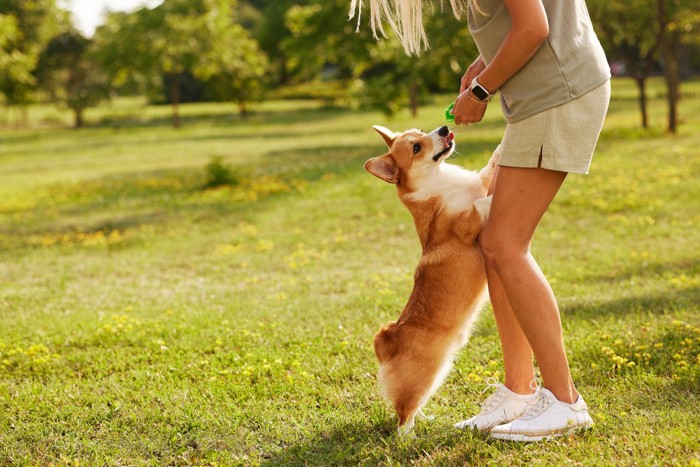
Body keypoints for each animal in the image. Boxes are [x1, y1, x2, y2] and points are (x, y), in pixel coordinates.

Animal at [366, 124, 498, 436]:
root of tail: (386, 338)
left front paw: (501, 152)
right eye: (416, 148)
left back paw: (426, 420)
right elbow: (479, 205)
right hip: (424, 377)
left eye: (421, 131)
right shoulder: (465, 227)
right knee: (403, 414)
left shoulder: (479, 180)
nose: (444, 128)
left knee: (414, 408)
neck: (441, 181)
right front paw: (493, 197)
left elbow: (488, 169)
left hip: (437, 375)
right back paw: (408, 437)